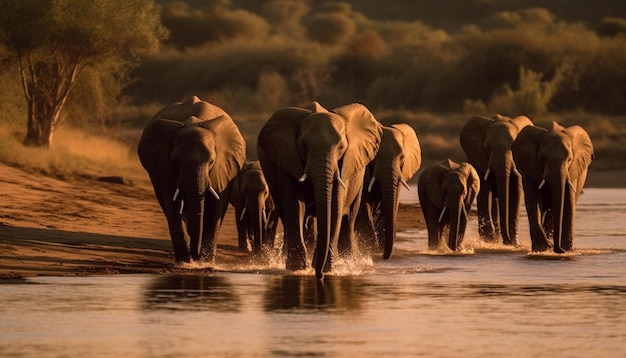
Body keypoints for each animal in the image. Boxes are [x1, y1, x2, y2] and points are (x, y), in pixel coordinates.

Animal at [138, 96, 245, 264]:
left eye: (211, 162)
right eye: (175, 162)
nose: (196, 256)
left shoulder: (221, 168)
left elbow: (215, 207)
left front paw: (205, 262)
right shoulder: (166, 168)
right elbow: (174, 206)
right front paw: (185, 262)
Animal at [255, 102, 380, 278]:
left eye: (341, 147)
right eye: (303, 146)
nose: (319, 275)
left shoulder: (343, 166)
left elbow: (335, 206)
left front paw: (326, 269)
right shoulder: (288, 158)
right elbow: (294, 205)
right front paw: (298, 268)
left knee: (349, 219)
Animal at [356, 123, 420, 258]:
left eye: (402, 158)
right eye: (373, 158)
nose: (384, 256)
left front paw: (378, 247)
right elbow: (364, 204)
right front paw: (373, 248)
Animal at [458, 114, 532, 246]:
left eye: (513, 147)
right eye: (488, 147)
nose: (507, 241)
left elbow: (516, 191)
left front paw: (514, 243)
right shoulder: (478, 157)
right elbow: (485, 190)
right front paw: (490, 240)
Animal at [510, 121, 592, 253]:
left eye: (569, 159)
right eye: (542, 159)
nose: (558, 249)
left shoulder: (572, 171)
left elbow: (568, 203)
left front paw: (567, 250)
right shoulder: (529, 166)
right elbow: (533, 201)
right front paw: (543, 247)